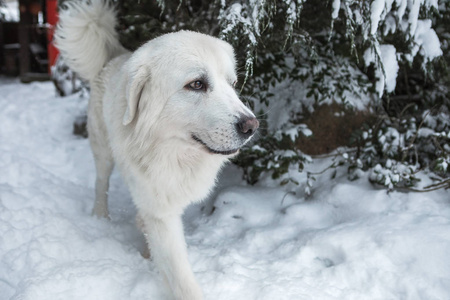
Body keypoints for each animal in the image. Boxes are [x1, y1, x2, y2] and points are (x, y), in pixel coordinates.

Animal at [55, 1, 258, 298]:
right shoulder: (161, 213)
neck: (171, 152)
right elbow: (181, 277)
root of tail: (116, 56)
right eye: (197, 84)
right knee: (101, 183)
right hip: (102, 151)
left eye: (232, 84)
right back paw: (100, 216)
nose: (251, 126)